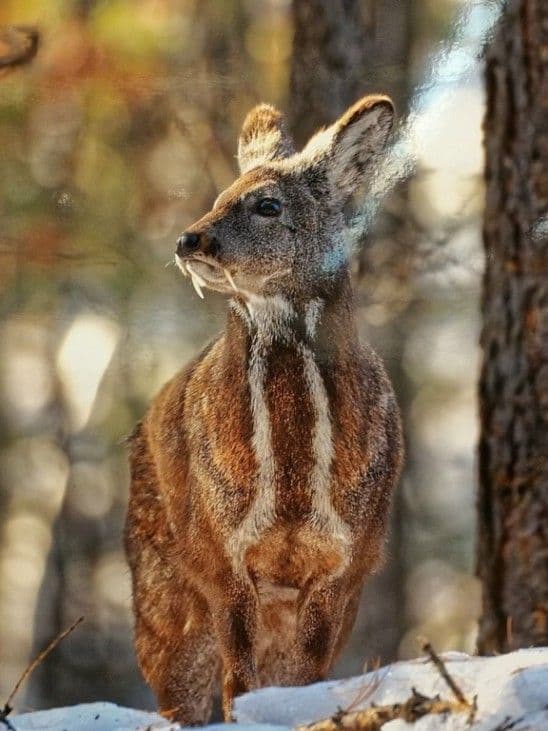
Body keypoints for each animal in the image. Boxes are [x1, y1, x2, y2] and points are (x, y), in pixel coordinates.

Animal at [124, 94, 403, 725]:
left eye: (266, 204)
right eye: (219, 195)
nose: (190, 240)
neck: (293, 487)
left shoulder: (346, 562)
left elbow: (304, 679)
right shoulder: (220, 555)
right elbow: (240, 683)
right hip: (160, 593)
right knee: (176, 696)